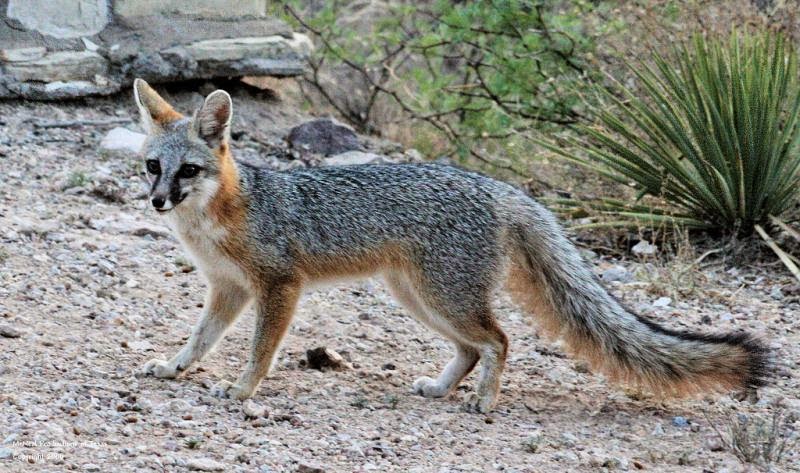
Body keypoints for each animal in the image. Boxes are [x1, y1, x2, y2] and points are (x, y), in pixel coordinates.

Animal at [133, 78, 769, 413]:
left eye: (188, 171)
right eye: (152, 167)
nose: (159, 202)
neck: (220, 219)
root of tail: (502, 187)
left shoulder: (279, 287)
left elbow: (259, 350)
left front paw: (243, 390)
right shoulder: (229, 290)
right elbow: (200, 340)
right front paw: (174, 367)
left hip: (443, 296)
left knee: (499, 340)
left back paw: (485, 401)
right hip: (418, 296)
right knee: (472, 347)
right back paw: (442, 387)